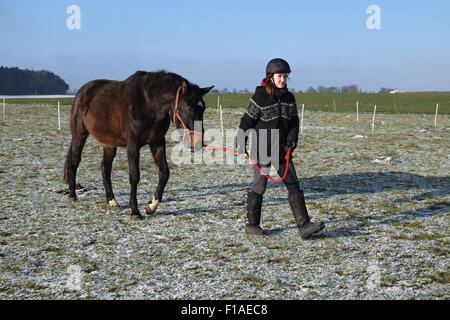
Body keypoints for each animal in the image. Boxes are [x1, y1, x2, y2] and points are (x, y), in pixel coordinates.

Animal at [62, 70, 214, 219]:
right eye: (188, 106)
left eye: (203, 108)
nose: (198, 142)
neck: (148, 103)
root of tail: (82, 92)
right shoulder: (133, 145)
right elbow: (134, 176)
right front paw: (135, 211)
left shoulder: (157, 142)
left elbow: (164, 172)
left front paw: (151, 206)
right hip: (79, 136)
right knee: (74, 162)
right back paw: (72, 195)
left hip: (109, 144)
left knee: (105, 168)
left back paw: (112, 201)